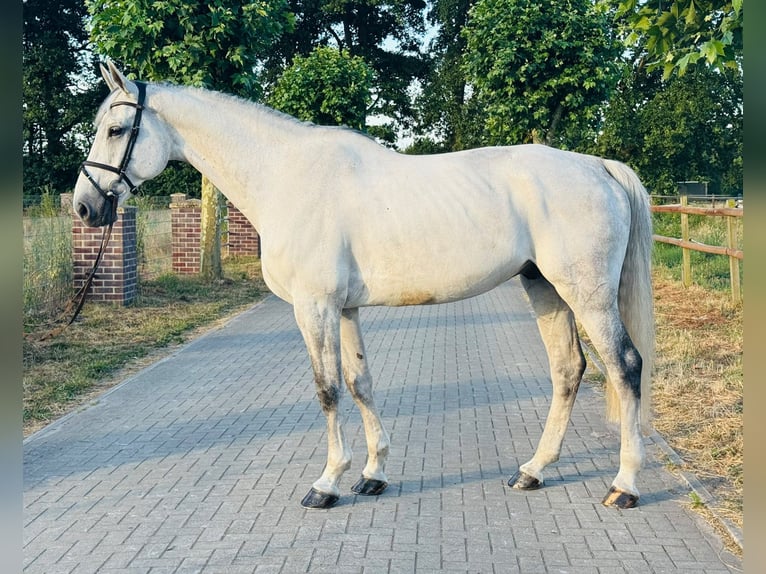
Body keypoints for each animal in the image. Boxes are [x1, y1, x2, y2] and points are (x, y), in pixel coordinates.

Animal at [74, 61, 655, 510]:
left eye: (117, 130)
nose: (85, 207)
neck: (286, 176)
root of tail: (599, 167)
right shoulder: (345, 310)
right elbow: (360, 383)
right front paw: (373, 474)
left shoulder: (314, 307)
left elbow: (327, 389)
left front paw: (327, 483)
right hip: (545, 288)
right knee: (568, 369)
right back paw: (533, 470)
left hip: (586, 294)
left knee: (625, 366)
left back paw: (624, 486)